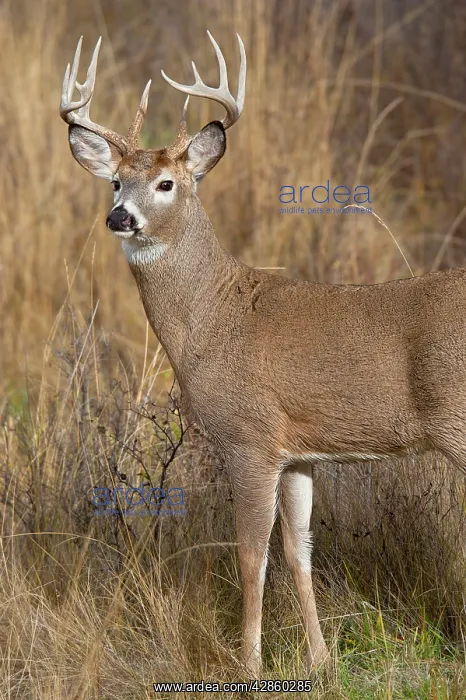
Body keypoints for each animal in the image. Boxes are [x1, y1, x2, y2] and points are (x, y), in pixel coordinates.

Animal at [60, 32, 466, 677]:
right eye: (116, 182)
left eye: (167, 184)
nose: (119, 217)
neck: (214, 320)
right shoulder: (298, 451)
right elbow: (300, 552)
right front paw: (320, 661)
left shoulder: (249, 436)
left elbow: (251, 556)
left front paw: (248, 664)